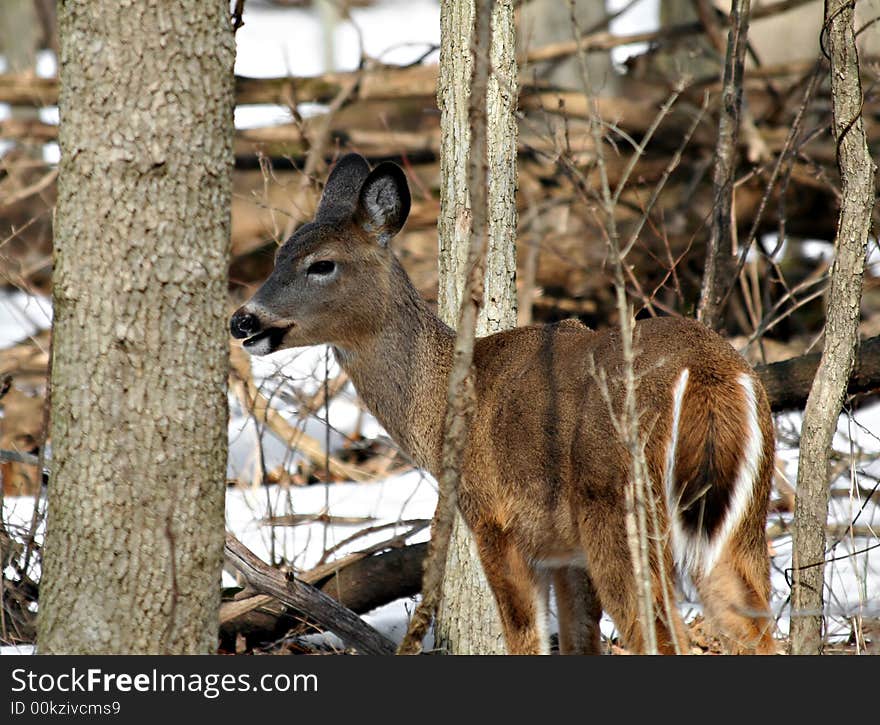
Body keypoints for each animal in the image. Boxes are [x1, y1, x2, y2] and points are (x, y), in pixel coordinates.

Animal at [230, 154, 772, 656]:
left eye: (322, 263)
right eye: (278, 255)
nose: (243, 321)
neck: (440, 411)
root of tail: (711, 379)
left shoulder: (495, 521)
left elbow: (525, 637)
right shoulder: (565, 554)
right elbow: (577, 640)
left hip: (623, 513)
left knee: (660, 634)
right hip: (741, 525)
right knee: (757, 629)